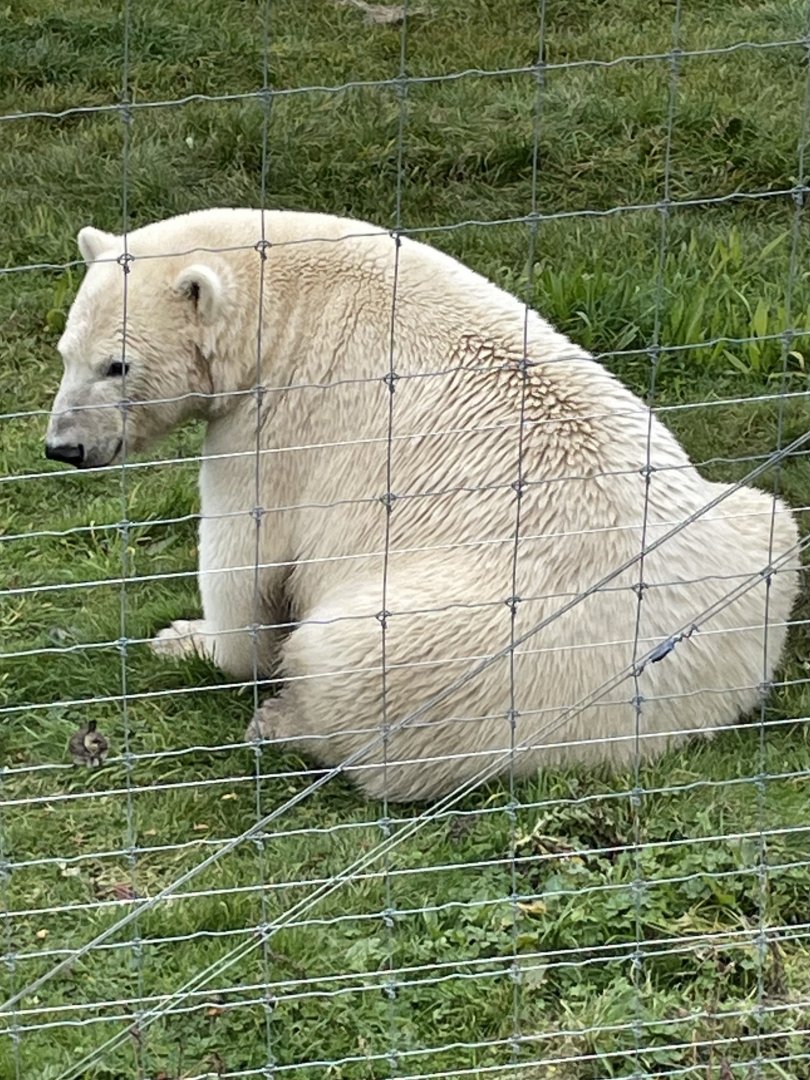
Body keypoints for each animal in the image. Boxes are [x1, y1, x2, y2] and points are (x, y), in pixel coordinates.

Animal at [45, 208, 801, 802]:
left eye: (117, 365)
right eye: (65, 352)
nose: (64, 446)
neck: (287, 297)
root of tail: (664, 708)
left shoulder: (277, 420)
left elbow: (244, 559)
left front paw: (185, 638)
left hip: (471, 650)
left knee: (351, 665)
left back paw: (285, 721)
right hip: (746, 548)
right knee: (774, 517)